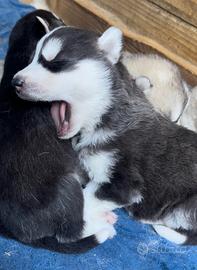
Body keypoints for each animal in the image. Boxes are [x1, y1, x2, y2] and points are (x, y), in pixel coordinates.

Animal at [13, 24, 197, 245]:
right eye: (31, 59)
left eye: (55, 63)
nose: (15, 82)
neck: (104, 115)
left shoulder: (122, 184)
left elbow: (85, 202)